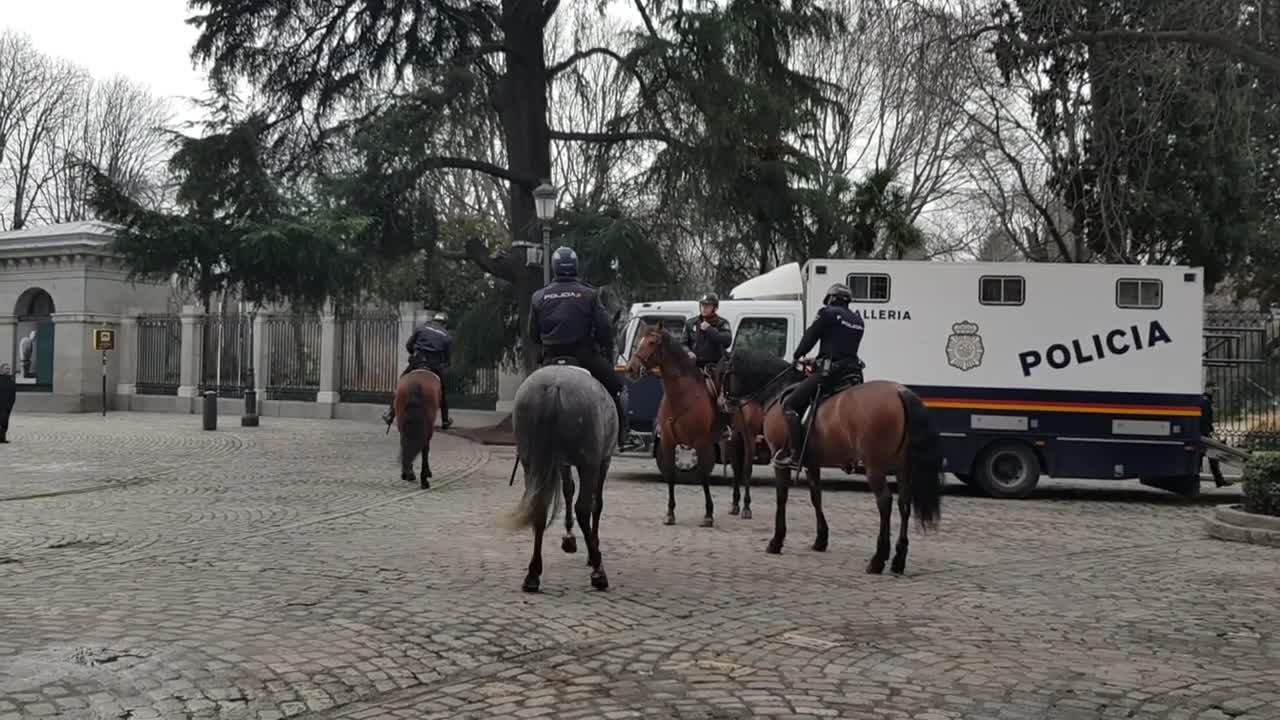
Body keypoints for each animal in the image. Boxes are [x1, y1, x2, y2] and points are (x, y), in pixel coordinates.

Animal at [501, 361, 616, 591]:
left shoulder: (561, 463)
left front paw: (569, 537)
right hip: (588, 464)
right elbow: (596, 504)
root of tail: (554, 386)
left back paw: (533, 574)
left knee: (539, 507)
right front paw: (592, 548)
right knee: (584, 509)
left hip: (531, 463)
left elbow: (568, 489)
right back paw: (598, 570)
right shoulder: (603, 462)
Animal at [627, 325, 727, 527]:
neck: (681, 397)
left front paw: (708, 514)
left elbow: (703, 475)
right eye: (640, 341)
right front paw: (670, 513)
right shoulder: (668, 441)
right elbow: (671, 475)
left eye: (652, 342)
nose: (631, 368)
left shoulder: (701, 443)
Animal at [727, 348, 947, 571]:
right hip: (903, 467)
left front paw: (776, 541)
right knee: (904, 503)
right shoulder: (812, 463)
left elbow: (782, 497)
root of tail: (900, 392)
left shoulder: (781, 462)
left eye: (725, 373)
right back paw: (898, 560)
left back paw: (878, 559)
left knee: (885, 501)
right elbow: (816, 496)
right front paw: (820, 540)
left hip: (875, 466)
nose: (726, 404)